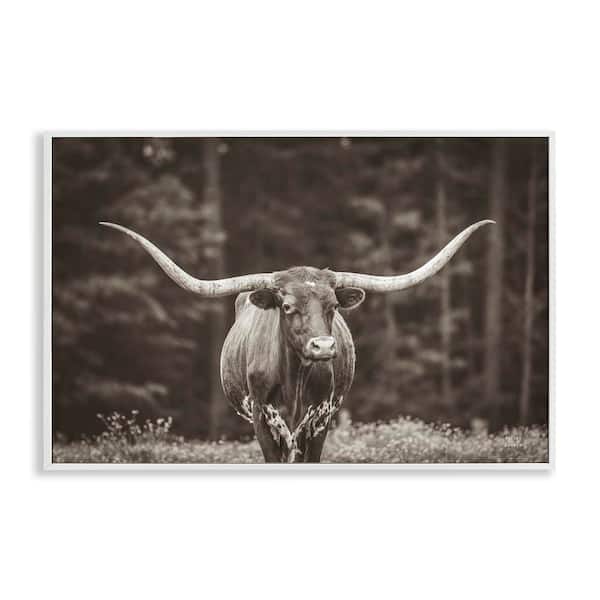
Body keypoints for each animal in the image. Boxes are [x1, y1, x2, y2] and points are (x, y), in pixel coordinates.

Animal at [101, 219, 493, 463]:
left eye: (333, 305)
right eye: (287, 306)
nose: (324, 347)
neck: (294, 381)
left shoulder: (321, 420)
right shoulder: (261, 419)